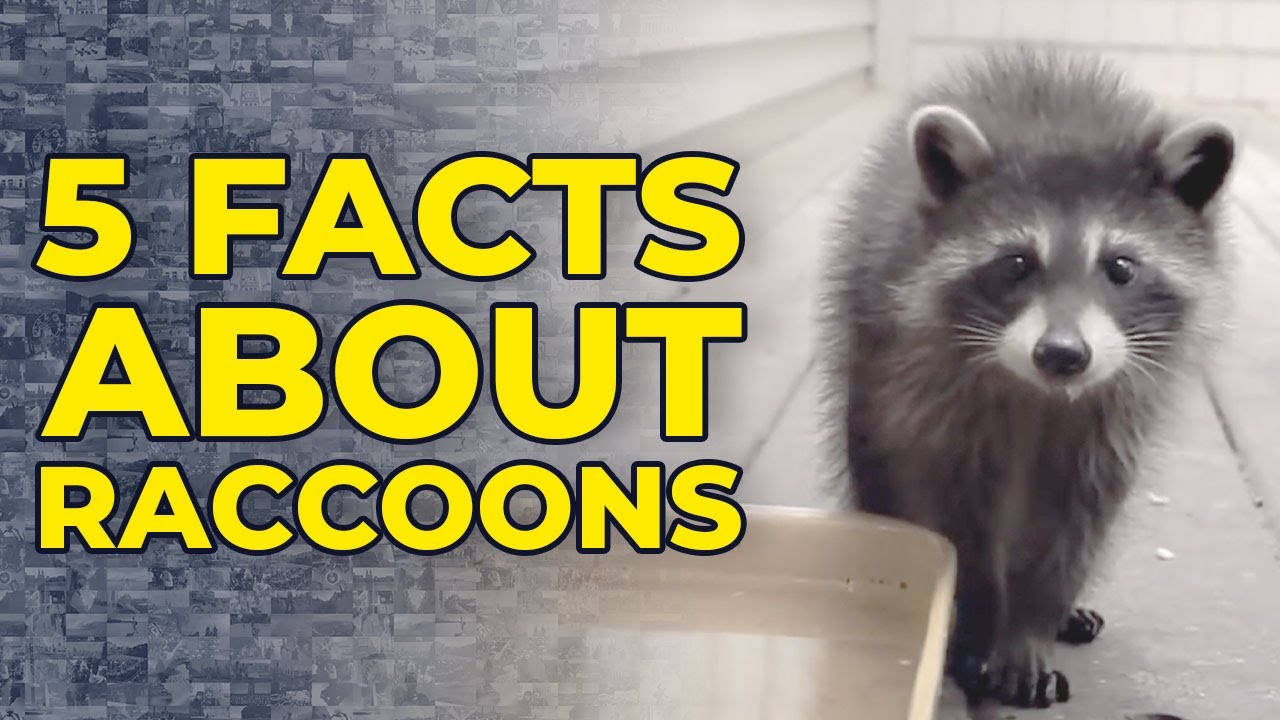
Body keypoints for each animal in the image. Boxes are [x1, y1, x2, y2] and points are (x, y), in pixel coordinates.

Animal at [819, 48, 1235, 708]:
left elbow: (1077, 519)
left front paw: (1033, 624)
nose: (1062, 353)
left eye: (1121, 267)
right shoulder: (930, 386)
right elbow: (958, 518)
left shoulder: (1116, 411)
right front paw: (979, 623)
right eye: (1016, 263)